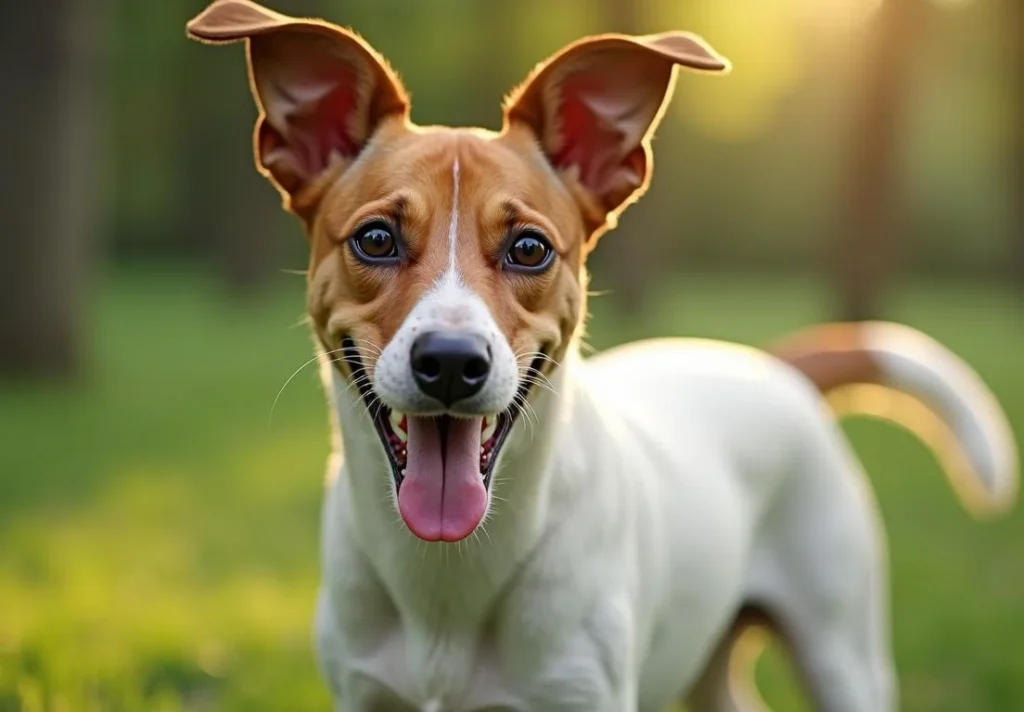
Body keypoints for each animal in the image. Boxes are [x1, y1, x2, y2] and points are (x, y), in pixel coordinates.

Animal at [184, 2, 1015, 708]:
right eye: (376, 239)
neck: (450, 578)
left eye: (529, 248)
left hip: (842, 647)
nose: (451, 361)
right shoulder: (364, 690)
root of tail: (772, 367)